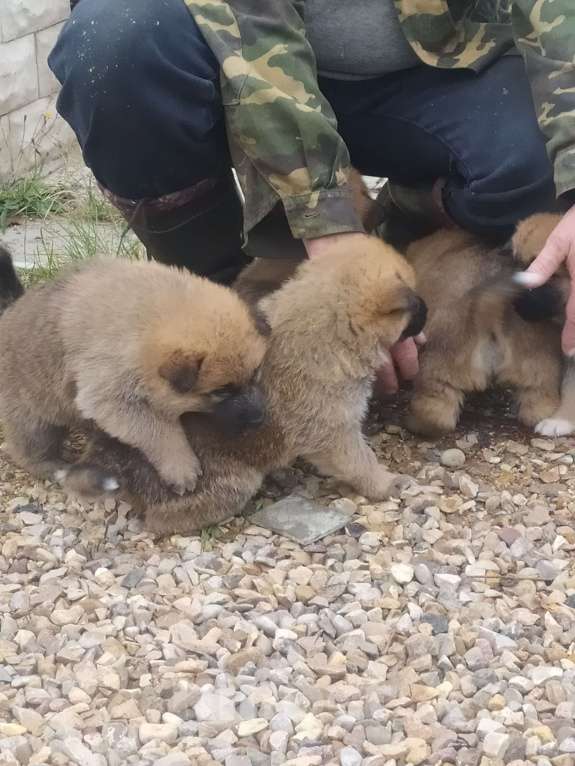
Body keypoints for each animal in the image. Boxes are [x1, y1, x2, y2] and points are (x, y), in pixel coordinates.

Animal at [0, 255, 268, 492]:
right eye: (221, 391)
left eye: (256, 373)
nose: (259, 417)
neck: (150, 315)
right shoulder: (112, 396)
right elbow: (159, 432)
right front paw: (180, 467)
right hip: (32, 419)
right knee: (28, 448)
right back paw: (52, 466)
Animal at [62, 237, 428, 536]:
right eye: (415, 302)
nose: (427, 308)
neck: (328, 327)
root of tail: (105, 454)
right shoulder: (334, 435)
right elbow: (361, 462)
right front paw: (386, 484)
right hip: (231, 482)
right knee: (160, 518)